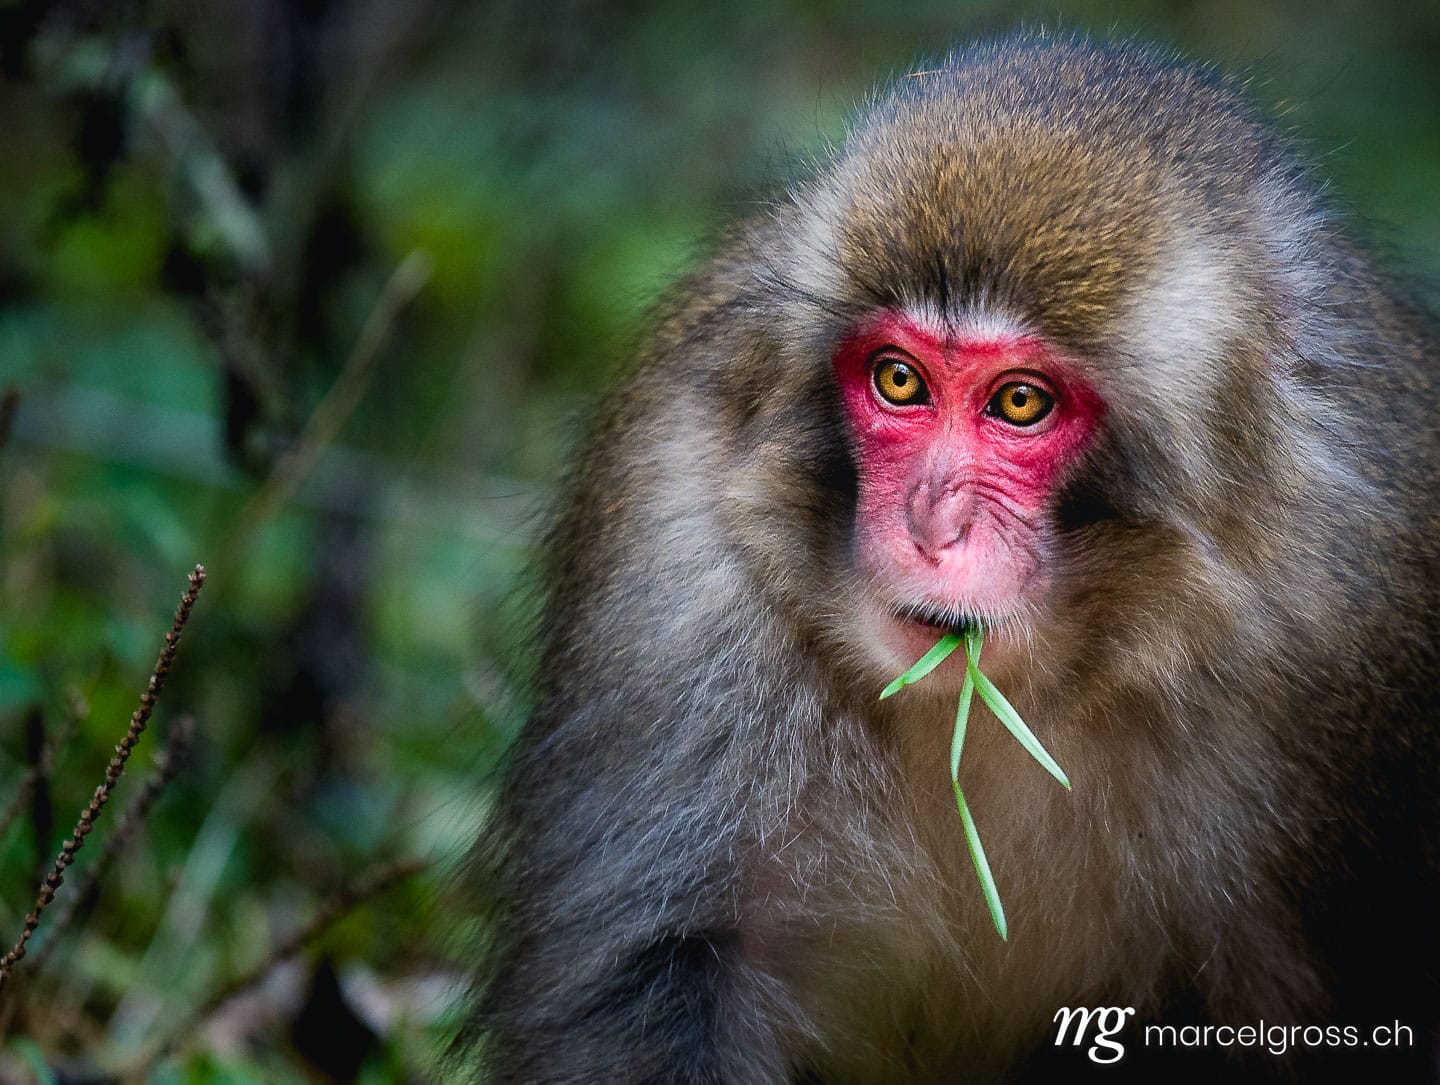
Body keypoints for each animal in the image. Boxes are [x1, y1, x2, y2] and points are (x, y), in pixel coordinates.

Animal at [458, 33, 1440, 1083]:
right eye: (899, 380)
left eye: (1020, 401)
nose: (932, 524)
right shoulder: (678, 564)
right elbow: (656, 975)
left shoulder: (1352, 594)